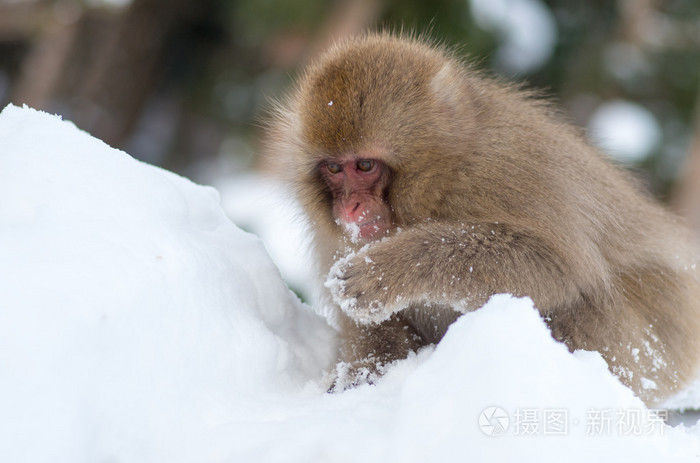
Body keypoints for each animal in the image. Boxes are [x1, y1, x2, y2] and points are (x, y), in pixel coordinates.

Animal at [266, 32, 700, 404]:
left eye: (365, 165)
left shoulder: (502, 168)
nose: (348, 209)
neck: (444, 174)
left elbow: (557, 266)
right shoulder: (333, 236)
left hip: (652, 349)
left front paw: (385, 271)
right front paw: (360, 377)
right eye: (334, 169)